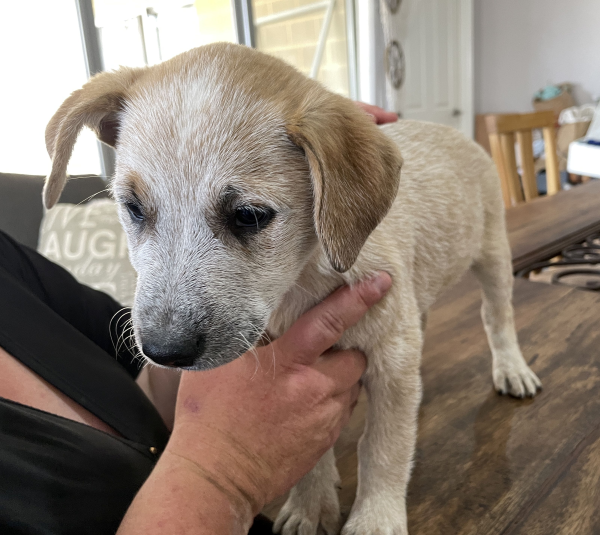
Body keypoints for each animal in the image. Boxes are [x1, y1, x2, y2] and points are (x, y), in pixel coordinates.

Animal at [44, 43, 540, 535]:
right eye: (132, 207)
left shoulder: (391, 356)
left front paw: (375, 518)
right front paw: (311, 504)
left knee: (497, 317)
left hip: (494, 255)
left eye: (248, 215)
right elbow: (309, 449)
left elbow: (383, 447)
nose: (164, 352)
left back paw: (512, 368)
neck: (303, 283)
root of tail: (451, 131)